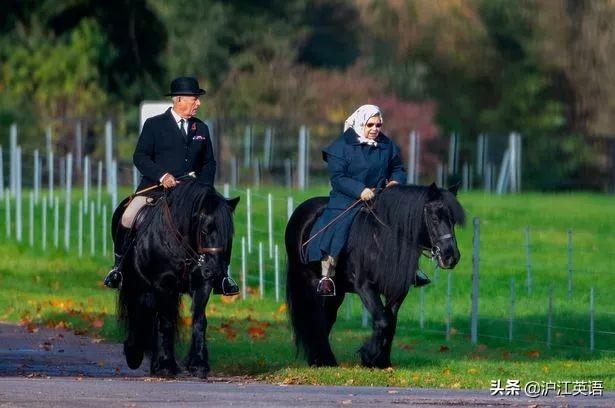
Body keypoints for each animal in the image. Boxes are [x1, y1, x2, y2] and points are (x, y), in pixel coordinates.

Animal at [114, 180, 239, 378]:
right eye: (206, 230)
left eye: (229, 234)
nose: (216, 271)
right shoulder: (163, 285)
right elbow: (165, 322)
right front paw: (166, 365)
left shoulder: (202, 285)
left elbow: (199, 321)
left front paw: (198, 364)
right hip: (136, 283)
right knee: (139, 310)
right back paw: (135, 354)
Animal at [286, 183, 464, 368]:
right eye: (435, 218)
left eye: (453, 220)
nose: (451, 256)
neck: (385, 239)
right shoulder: (365, 287)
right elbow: (383, 321)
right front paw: (369, 356)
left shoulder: (398, 290)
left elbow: (391, 322)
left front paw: (382, 361)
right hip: (308, 281)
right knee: (313, 318)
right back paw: (320, 360)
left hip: (336, 292)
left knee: (326, 317)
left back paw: (325, 359)